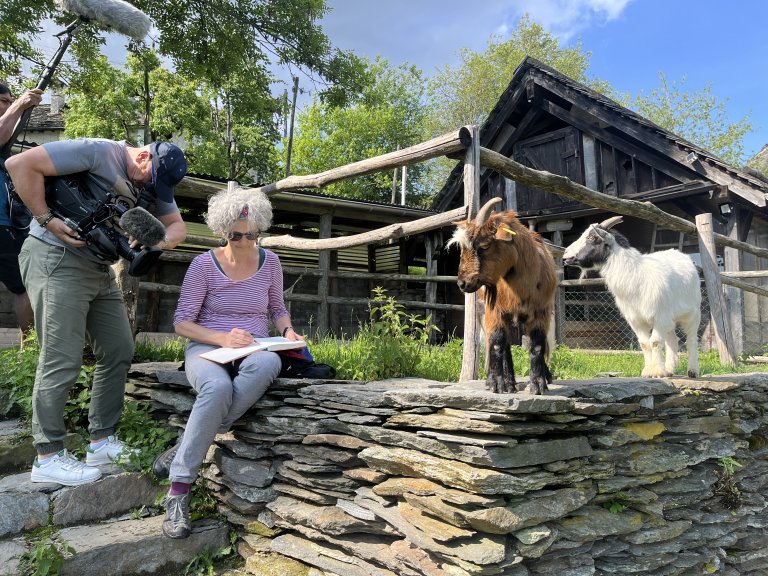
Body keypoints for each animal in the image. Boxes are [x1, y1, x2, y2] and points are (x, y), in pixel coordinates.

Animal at [448, 197, 556, 392]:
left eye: (484, 246)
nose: (462, 283)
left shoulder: (541, 311)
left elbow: (537, 345)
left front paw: (539, 384)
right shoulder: (495, 310)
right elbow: (497, 343)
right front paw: (497, 384)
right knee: (501, 344)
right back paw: (505, 382)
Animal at [560, 216, 700, 378]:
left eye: (592, 237)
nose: (566, 255)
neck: (637, 274)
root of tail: (682, 256)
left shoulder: (660, 316)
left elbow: (655, 342)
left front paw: (656, 371)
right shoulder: (636, 320)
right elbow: (645, 344)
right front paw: (648, 371)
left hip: (692, 313)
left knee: (691, 339)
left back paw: (693, 370)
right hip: (669, 319)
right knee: (672, 340)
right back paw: (670, 370)